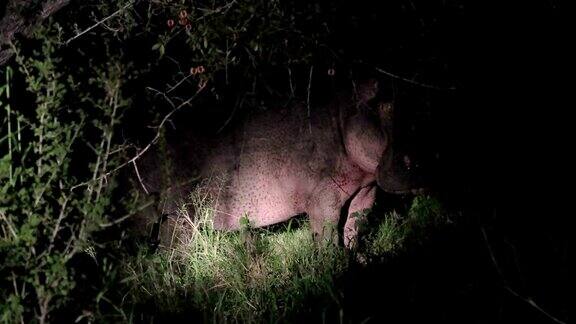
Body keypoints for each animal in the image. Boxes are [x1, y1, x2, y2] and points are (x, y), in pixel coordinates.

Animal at [136, 78, 424, 248]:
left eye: (416, 104)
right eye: (382, 104)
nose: (419, 163)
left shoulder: (366, 193)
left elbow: (354, 231)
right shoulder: (323, 201)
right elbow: (328, 238)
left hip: (172, 218)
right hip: (172, 215)